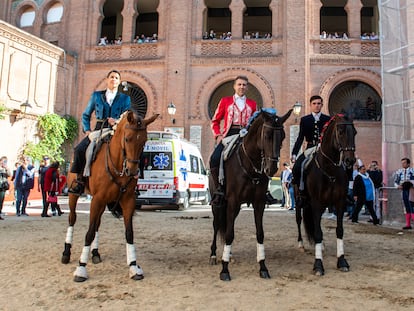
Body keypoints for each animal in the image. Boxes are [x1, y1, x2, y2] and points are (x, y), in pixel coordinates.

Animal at [60, 110, 158, 282]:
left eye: (144, 141)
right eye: (127, 138)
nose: (132, 171)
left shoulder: (127, 201)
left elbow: (129, 233)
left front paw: (133, 266)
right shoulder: (97, 199)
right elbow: (89, 233)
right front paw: (81, 268)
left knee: (97, 224)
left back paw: (95, 254)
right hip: (75, 194)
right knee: (72, 219)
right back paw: (66, 253)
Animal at [209, 108, 292, 282]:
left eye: (283, 136)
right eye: (266, 135)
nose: (272, 168)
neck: (249, 164)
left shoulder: (258, 203)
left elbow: (260, 234)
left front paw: (263, 267)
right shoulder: (233, 201)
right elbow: (229, 234)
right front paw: (224, 270)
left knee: (228, 224)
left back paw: (229, 254)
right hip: (218, 204)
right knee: (216, 225)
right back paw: (213, 255)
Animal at [294, 114, 356, 276]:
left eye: (355, 132)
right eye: (340, 132)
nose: (350, 160)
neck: (329, 171)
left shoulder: (340, 203)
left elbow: (339, 230)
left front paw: (342, 261)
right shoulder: (315, 203)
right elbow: (317, 233)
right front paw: (318, 265)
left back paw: (320, 246)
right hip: (299, 201)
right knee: (299, 220)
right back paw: (301, 244)